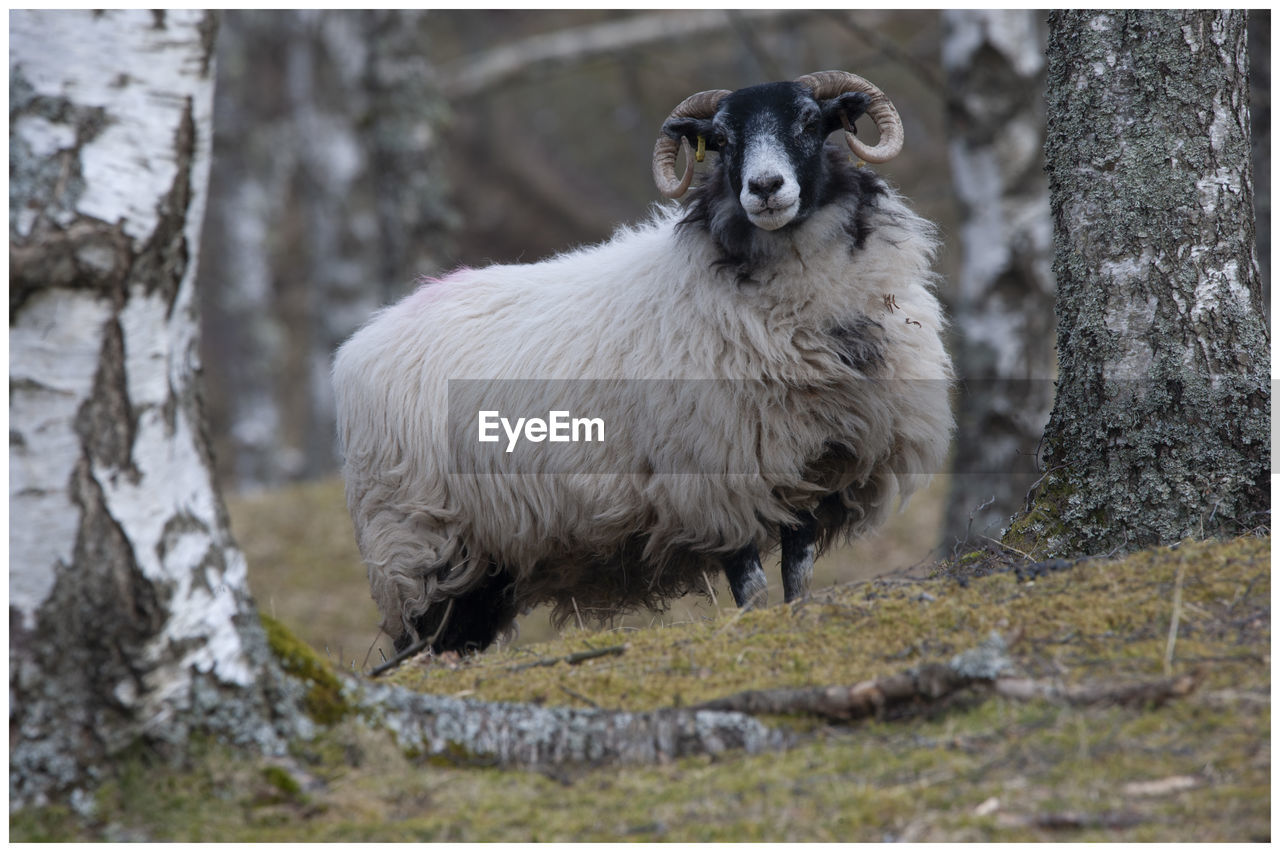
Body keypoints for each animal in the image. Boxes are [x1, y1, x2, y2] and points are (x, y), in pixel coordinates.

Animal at [335, 71, 957, 654]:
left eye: (809, 120)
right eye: (722, 140)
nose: (765, 188)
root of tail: (363, 340)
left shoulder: (809, 473)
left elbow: (797, 580)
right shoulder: (717, 481)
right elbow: (751, 590)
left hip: (484, 562)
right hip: (417, 544)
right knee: (419, 644)